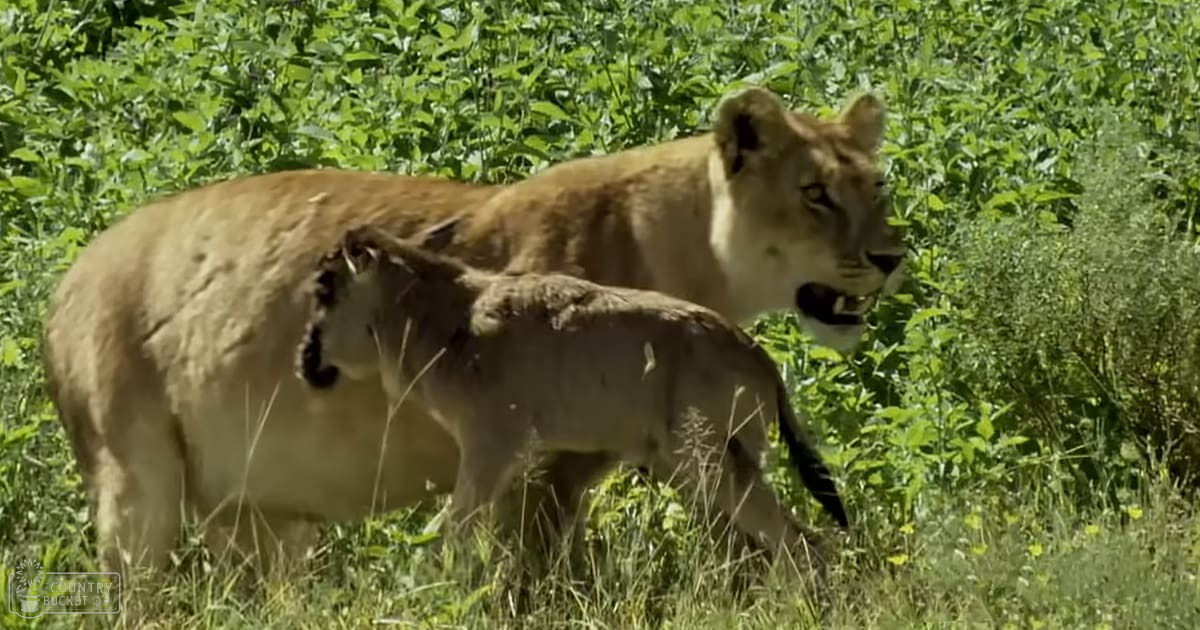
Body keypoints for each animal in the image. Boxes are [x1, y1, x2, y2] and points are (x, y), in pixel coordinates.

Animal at [295, 226, 848, 566]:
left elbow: (453, 527)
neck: (445, 316)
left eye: (325, 286)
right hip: (690, 464)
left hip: (709, 459)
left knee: (800, 540)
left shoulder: (491, 447)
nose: (306, 357)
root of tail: (760, 360)